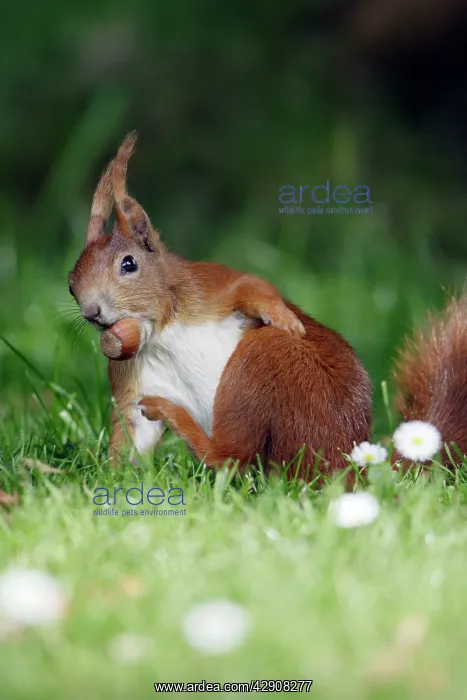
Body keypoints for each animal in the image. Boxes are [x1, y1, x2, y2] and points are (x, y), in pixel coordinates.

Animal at [68, 133, 465, 477]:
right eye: (71, 285)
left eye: (129, 264)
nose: (92, 313)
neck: (160, 332)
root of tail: (345, 467)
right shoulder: (135, 377)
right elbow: (132, 431)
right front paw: (110, 479)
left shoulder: (208, 289)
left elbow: (253, 287)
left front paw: (284, 317)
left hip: (262, 357)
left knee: (229, 452)